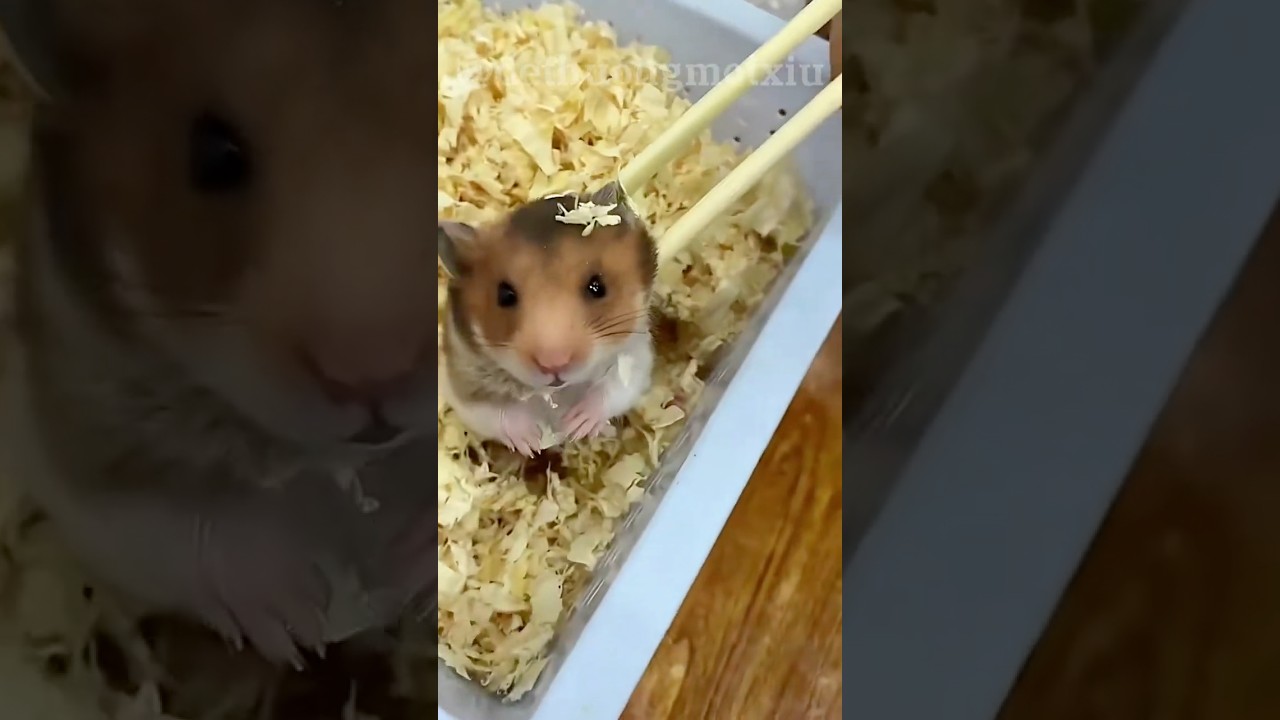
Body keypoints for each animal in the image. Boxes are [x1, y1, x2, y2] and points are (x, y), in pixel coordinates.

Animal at [0, 0, 437, 667]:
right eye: (213, 157)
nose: (373, 375)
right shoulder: (70, 417)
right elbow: (178, 523)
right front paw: (298, 622)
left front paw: (406, 569)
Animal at [438, 181, 658, 457]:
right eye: (505, 295)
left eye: (598, 287)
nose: (554, 364)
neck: (556, 392)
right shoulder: (463, 384)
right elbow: (498, 412)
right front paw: (532, 441)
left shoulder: (635, 358)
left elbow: (612, 389)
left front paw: (576, 424)